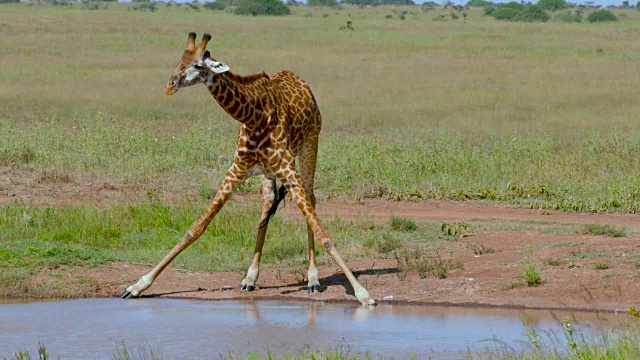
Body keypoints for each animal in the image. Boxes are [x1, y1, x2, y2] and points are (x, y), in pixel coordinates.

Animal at [120, 32, 376, 306]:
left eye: (198, 65)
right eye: (179, 61)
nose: (171, 85)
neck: (254, 117)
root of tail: (300, 80)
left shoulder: (288, 169)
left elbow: (324, 234)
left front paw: (363, 293)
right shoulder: (236, 171)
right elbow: (195, 228)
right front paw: (137, 286)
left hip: (310, 147)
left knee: (311, 200)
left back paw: (313, 279)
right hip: (268, 174)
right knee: (266, 207)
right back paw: (250, 278)